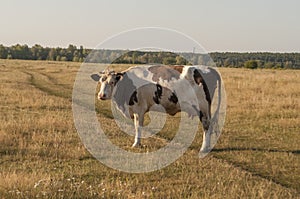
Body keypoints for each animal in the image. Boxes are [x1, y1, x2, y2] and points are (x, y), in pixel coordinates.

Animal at [91, 65, 223, 152]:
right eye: (101, 81)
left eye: (112, 82)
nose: (101, 95)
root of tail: (209, 69)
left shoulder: (139, 109)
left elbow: (138, 126)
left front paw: (136, 144)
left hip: (203, 108)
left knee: (206, 125)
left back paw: (204, 148)